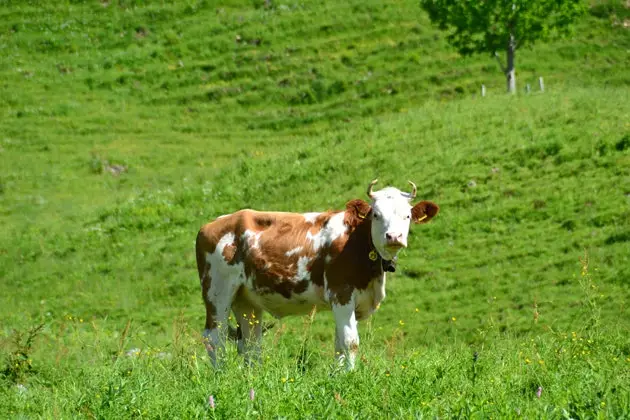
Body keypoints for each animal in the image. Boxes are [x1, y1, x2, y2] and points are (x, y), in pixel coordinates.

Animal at [196, 179, 440, 370]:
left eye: (407, 215)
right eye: (377, 215)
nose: (394, 236)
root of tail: (215, 222)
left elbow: (339, 344)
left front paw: (338, 377)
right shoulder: (341, 293)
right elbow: (350, 342)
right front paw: (350, 377)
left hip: (246, 300)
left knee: (250, 342)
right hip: (217, 291)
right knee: (214, 337)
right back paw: (221, 377)